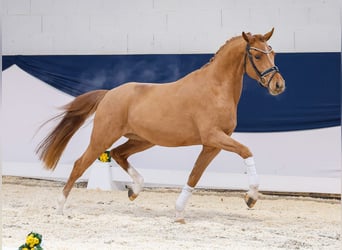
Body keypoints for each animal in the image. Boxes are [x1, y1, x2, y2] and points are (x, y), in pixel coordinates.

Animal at [36, 28, 284, 223]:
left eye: (272, 53)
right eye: (256, 55)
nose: (279, 85)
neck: (215, 89)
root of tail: (109, 94)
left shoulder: (212, 145)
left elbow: (194, 176)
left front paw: (179, 213)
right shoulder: (213, 137)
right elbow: (246, 151)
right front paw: (251, 197)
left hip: (142, 140)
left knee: (118, 154)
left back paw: (134, 190)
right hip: (103, 137)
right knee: (81, 164)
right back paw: (59, 207)